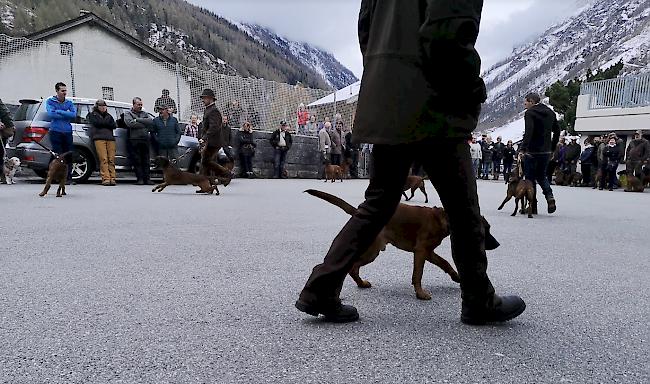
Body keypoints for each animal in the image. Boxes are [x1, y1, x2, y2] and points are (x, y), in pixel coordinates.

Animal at [304, 189, 496, 300]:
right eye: (485, 230)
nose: (497, 244)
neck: (443, 218)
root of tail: (360, 213)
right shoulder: (421, 252)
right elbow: (418, 274)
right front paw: (420, 294)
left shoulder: (428, 252)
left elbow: (445, 263)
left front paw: (456, 276)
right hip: (372, 251)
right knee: (352, 266)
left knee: (355, 267)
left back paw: (361, 284)